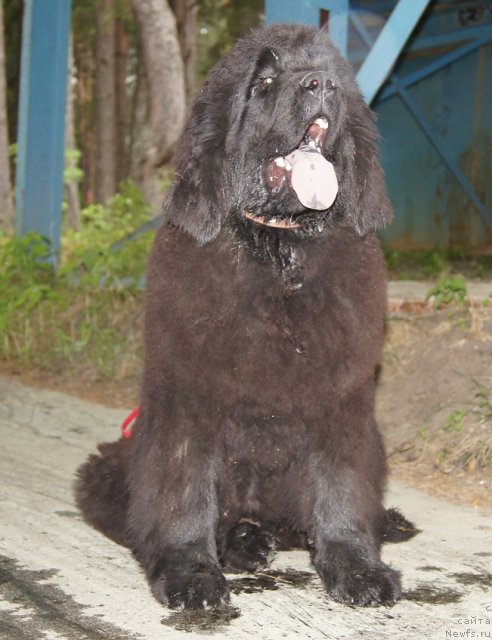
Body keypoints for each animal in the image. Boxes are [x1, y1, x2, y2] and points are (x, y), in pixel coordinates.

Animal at [76, 23, 416, 608]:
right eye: (264, 82)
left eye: (333, 74)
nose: (320, 83)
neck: (279, 252)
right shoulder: (186, 398)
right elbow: (185, 489)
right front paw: (190, 570)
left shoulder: (341, 403)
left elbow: (342, 487)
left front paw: (356, 567)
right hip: (112, 466)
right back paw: (240, 544)